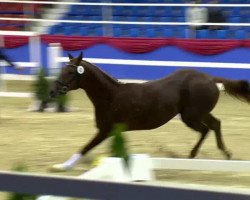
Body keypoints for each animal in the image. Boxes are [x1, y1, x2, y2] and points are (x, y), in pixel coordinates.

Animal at [49, 52, 249, 170]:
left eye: (70, 72)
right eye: (62, 70)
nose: (52, 91)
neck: (111, 95)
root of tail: (210, 78)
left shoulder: (105, 130)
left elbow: (85, 147)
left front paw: (62, 166)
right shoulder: (113, 131)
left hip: (191, 116)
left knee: (206, 129)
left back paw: (193, 155)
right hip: (198, 113)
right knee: (215, 124)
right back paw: (225, 154)